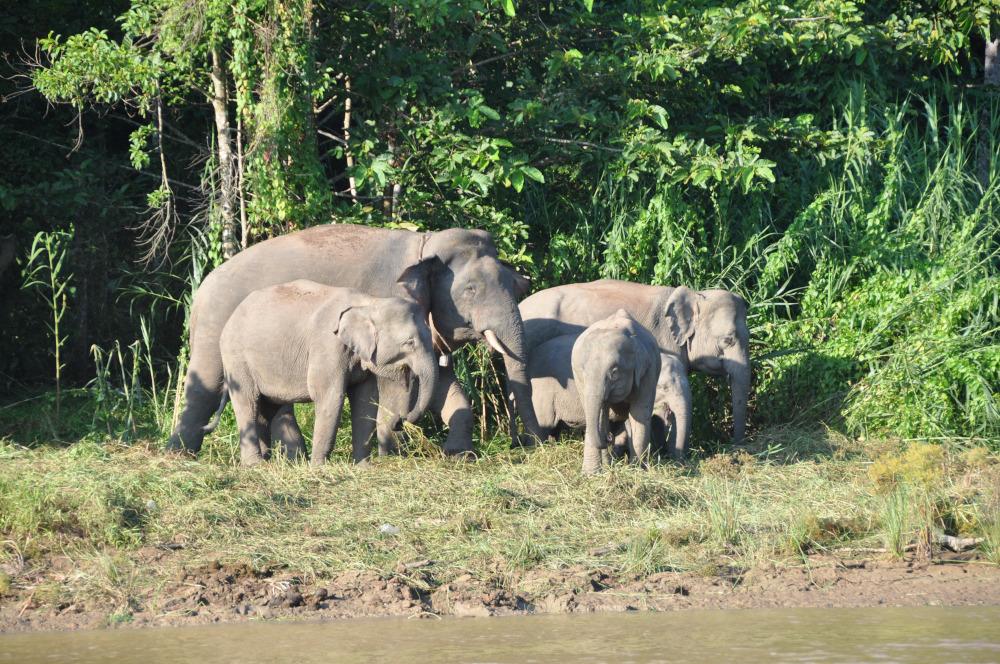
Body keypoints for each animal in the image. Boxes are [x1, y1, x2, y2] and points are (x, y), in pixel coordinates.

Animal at [207, 281, 438, 466]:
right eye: (409, 342)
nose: (400, 420)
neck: (369, 303)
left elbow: (365, 400)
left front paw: (363, 467)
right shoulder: (327, 346)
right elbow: (330, 396)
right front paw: (318, 467)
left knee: (265, 408)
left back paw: (266, 462)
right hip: (237, 358)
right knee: (247, 402)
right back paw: (255, 465)